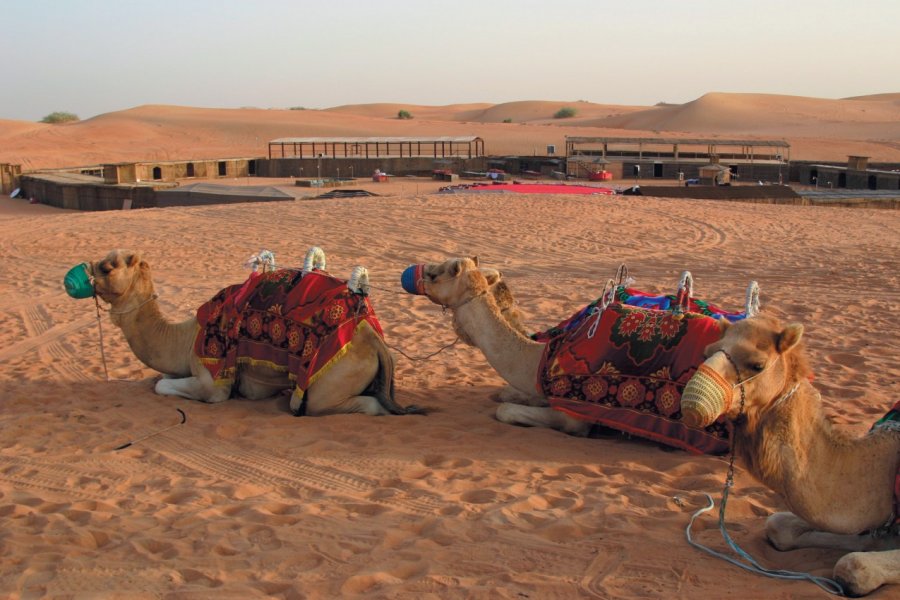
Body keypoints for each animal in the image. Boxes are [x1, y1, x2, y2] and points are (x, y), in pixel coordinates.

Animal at [684, 314, 900, 596]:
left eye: (757, 365)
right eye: (707, 353)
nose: (692, 404)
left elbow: (853, 566)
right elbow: (778, 526)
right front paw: (873, 541)